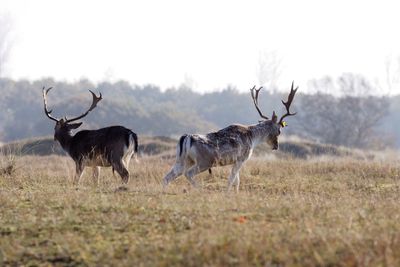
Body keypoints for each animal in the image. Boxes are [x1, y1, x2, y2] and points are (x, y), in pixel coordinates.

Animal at [162, 82, 296, 192]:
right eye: (279, 131)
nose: (276, 146)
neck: (253, 138)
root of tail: (186, 138)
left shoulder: (235, 161)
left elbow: (236, 180)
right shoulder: (241, 158)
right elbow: (232, 179)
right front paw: (228, 194)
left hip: (182, 160)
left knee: (167, 177)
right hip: (204, 161)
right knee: (188, 174)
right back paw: (201, 191)